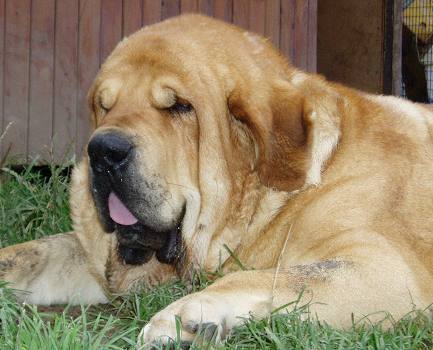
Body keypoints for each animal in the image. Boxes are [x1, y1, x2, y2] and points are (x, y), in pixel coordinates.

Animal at [0, 14, 432, 348]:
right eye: (106, 106)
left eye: (179, 106)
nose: (103, 150)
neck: (271, 206)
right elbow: (32, 253)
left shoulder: (383, 268)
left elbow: (271, 275)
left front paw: (187, 315)